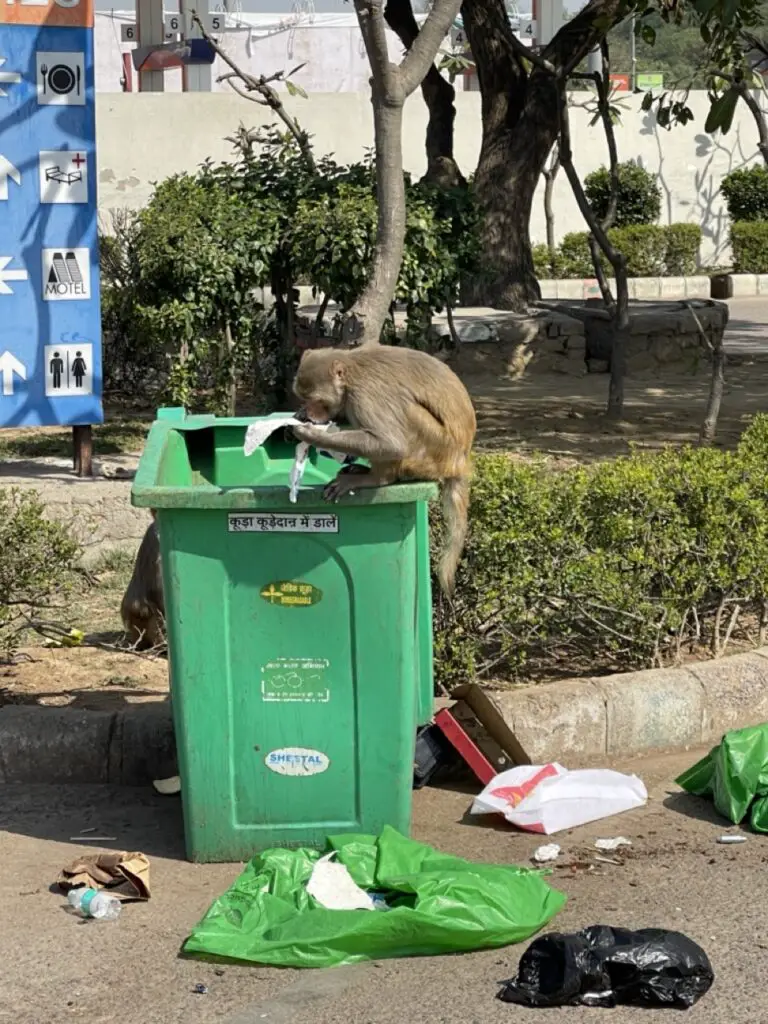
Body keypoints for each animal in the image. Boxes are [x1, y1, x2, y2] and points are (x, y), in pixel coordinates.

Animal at [292, 348, 479, 598]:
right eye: (302, 398)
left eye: (315, 399)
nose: (307, 411)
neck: (350, 374)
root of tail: (459, 462)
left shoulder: (364, 395)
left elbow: (391, 443)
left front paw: (310, 434)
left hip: (435, 451)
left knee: (405, 413)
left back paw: (377, 477)